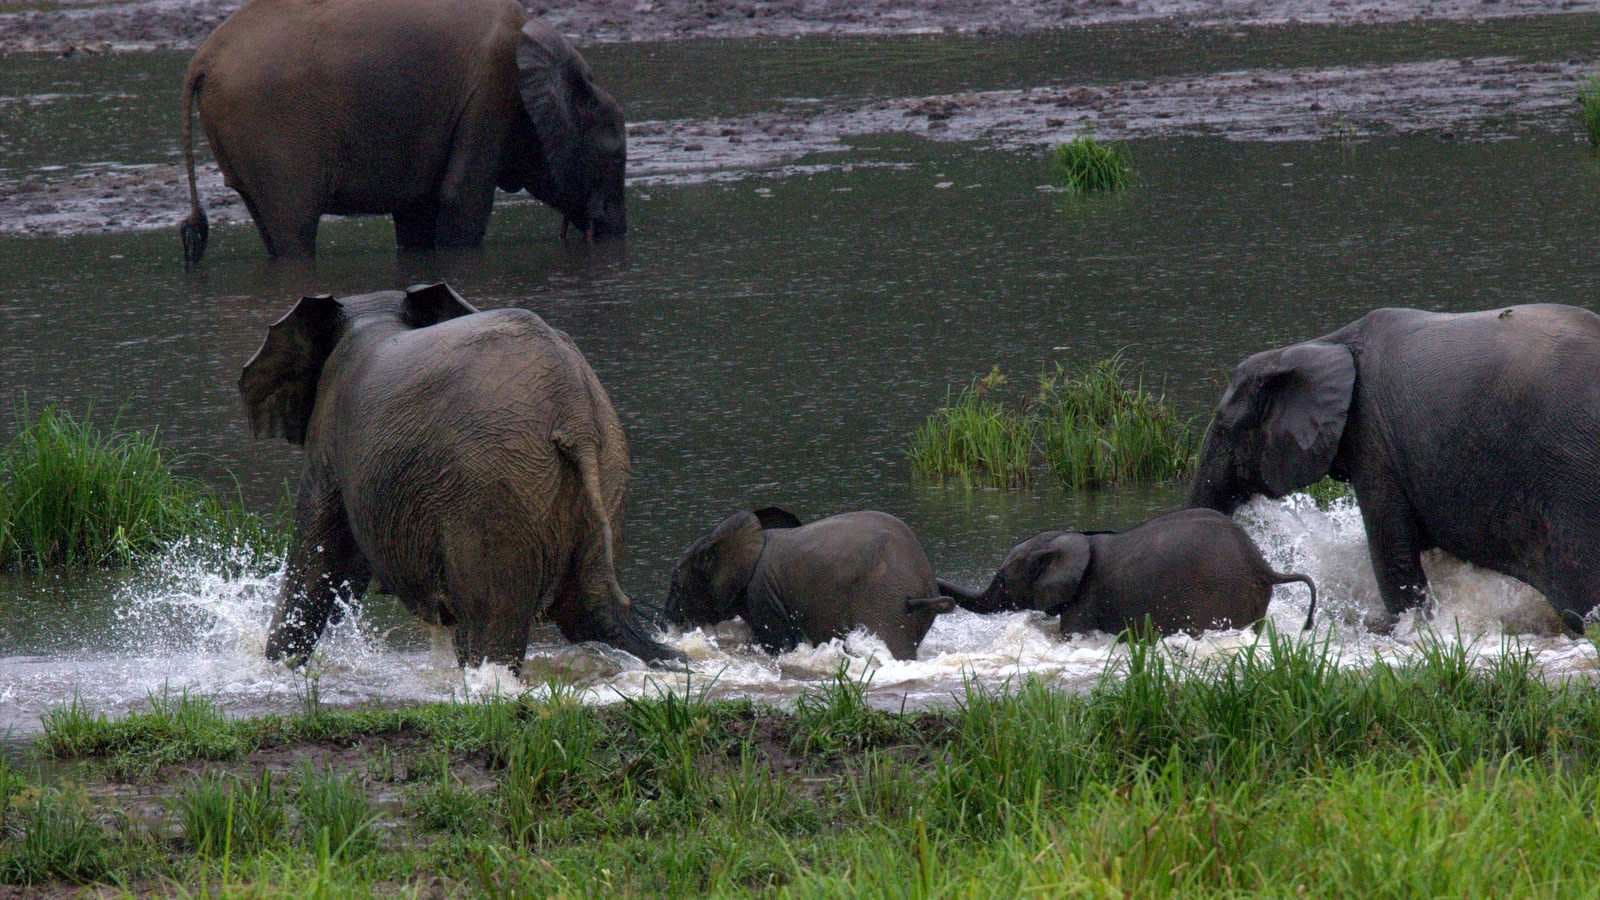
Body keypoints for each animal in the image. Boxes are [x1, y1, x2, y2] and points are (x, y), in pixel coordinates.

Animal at [179, 0, 626, 264]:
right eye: (614, 153)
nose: (613, 235)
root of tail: (202, 59)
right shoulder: (491, 90)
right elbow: (460, 201)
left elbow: (417, 218)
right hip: (272, 130)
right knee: (294, 228)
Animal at [240, 282, 674, 669]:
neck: (374, 313)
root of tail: (575, 410)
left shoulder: (328, 436)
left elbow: (315, 557)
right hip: (605, 464)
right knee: (592, 612)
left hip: (492, 488)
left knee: (491, 623)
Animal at [940, 509, 1316, 637]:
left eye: (1002, 579)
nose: (940, 596)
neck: (1072, 538)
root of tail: (1265, 566)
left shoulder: (1086, 600)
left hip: (1224, 593)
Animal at [1189, 304, 1600, 633]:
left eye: (1224, 428)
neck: (1318, 345)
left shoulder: (1373, 438)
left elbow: (1393, 554)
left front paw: (1409, 630)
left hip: (1571, 476)